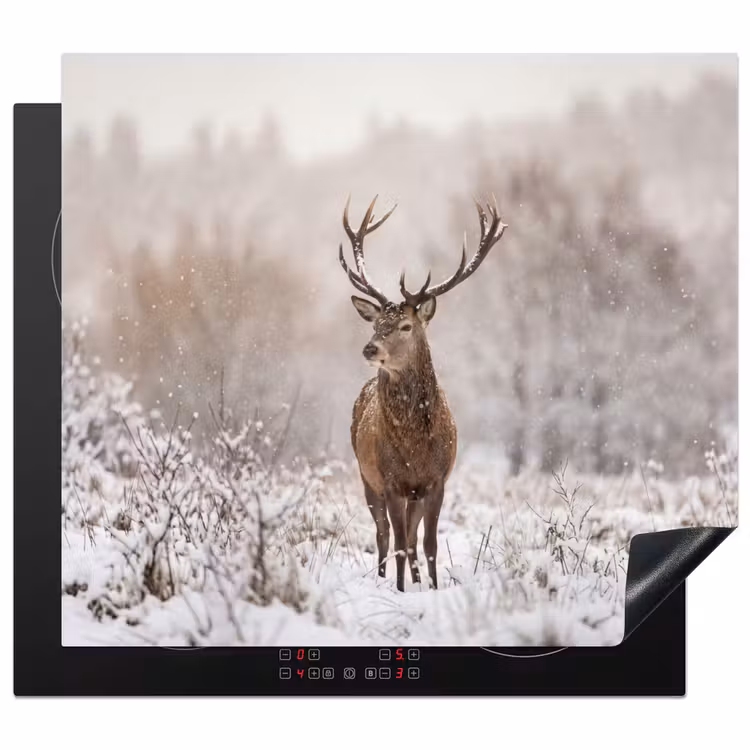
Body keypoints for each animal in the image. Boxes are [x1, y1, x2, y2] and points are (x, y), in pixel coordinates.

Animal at [339, 195, 507, 592]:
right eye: (375, 323)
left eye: (405, 325)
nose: (370, 349)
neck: (415, 447)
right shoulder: (391, 480)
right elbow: (399, 541)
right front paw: (401, 590)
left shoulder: (436, 481)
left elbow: (428, 543)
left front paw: (430, 587)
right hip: (366, 477)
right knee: (384, 534)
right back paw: (384, 578)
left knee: (412, 538)